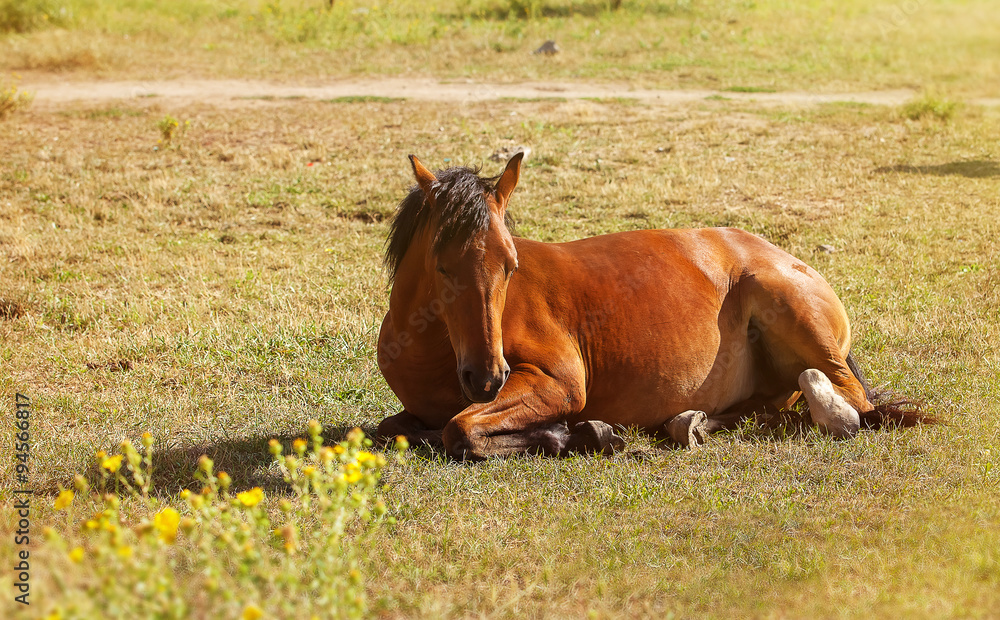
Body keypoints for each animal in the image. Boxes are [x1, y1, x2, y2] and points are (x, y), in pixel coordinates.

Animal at [375, 153, 928, 459]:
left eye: (510, 265)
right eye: (442, 266)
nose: (488, 378)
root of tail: (783, 256)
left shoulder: (558, 383)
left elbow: (459, 429)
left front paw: (579, 434)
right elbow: (391, 428)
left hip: (793, 315)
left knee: (848, 401)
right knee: (768, 410)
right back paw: (689, 423)